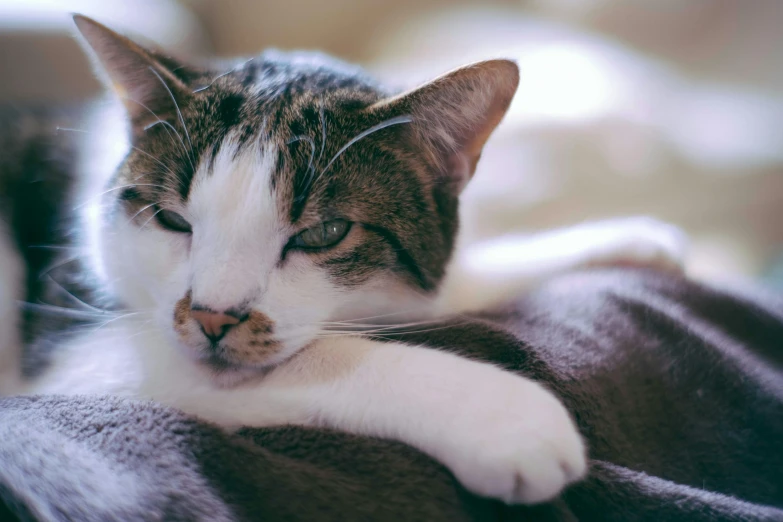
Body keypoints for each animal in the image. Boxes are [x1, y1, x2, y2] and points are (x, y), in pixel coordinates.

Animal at [0, 16, 688, 504]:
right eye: (172, 220)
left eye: (325, 233)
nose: (212, 318)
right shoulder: (78, 358)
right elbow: (318, 356)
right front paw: (501, 414)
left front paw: (634, 245)